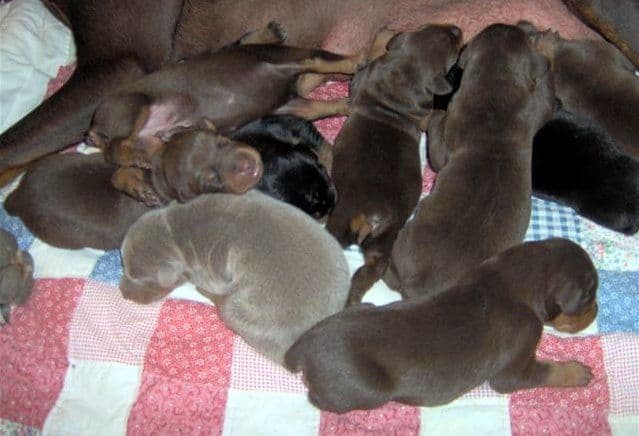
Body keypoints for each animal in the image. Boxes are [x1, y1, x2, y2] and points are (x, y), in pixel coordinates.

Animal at [120, 191, 350, 364]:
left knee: (226, 308)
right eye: (122, 264)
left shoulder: (213, 267)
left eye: (136, 277)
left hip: (244, 311)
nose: (122, 293)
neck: (174, 231)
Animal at [284, 238, 600, 412]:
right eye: (589, 296)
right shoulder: (517, 363)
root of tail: (303, 346)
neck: (512, 279)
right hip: (368, 389)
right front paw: (577, 371)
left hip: (365, 307)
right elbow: (544, 373)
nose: (597, 310)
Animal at [328, 23, 462, 304]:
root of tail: (372, 217)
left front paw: (384, 33)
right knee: (369, 272)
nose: (457, 29)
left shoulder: (362, 78)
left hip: (345, 218)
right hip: (385, 240)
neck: (402, 75)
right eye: (448, 36)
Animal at [384, 23, 556, 300]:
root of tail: (417, 282)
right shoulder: (535, 108)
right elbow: (547, 98)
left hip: (402, 241)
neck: (496, 86)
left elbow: (438, 148)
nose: (522, 23)